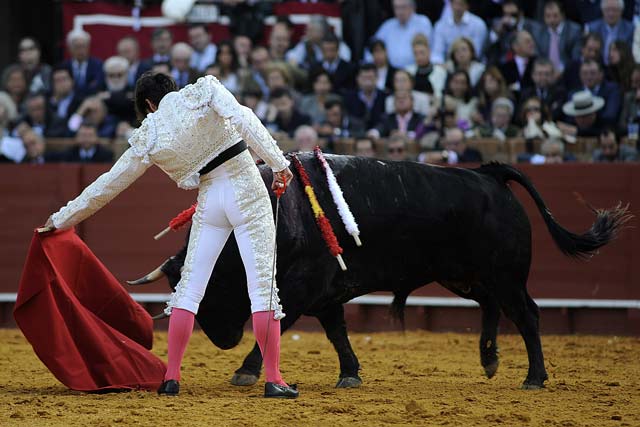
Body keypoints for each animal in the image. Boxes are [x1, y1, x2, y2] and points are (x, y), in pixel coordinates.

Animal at [132, 155, 628, 392]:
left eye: (212, 282)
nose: (220, 339)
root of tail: (489, 176)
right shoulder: (323, 293)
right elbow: (337, 332)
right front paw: (350, 373)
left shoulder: (301, 288)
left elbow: (276, 325)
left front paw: (247, 370)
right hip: (461, 275)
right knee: (491, 306)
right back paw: (489, 360)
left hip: (505, 275)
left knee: (526, 315)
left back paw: (534, 378)